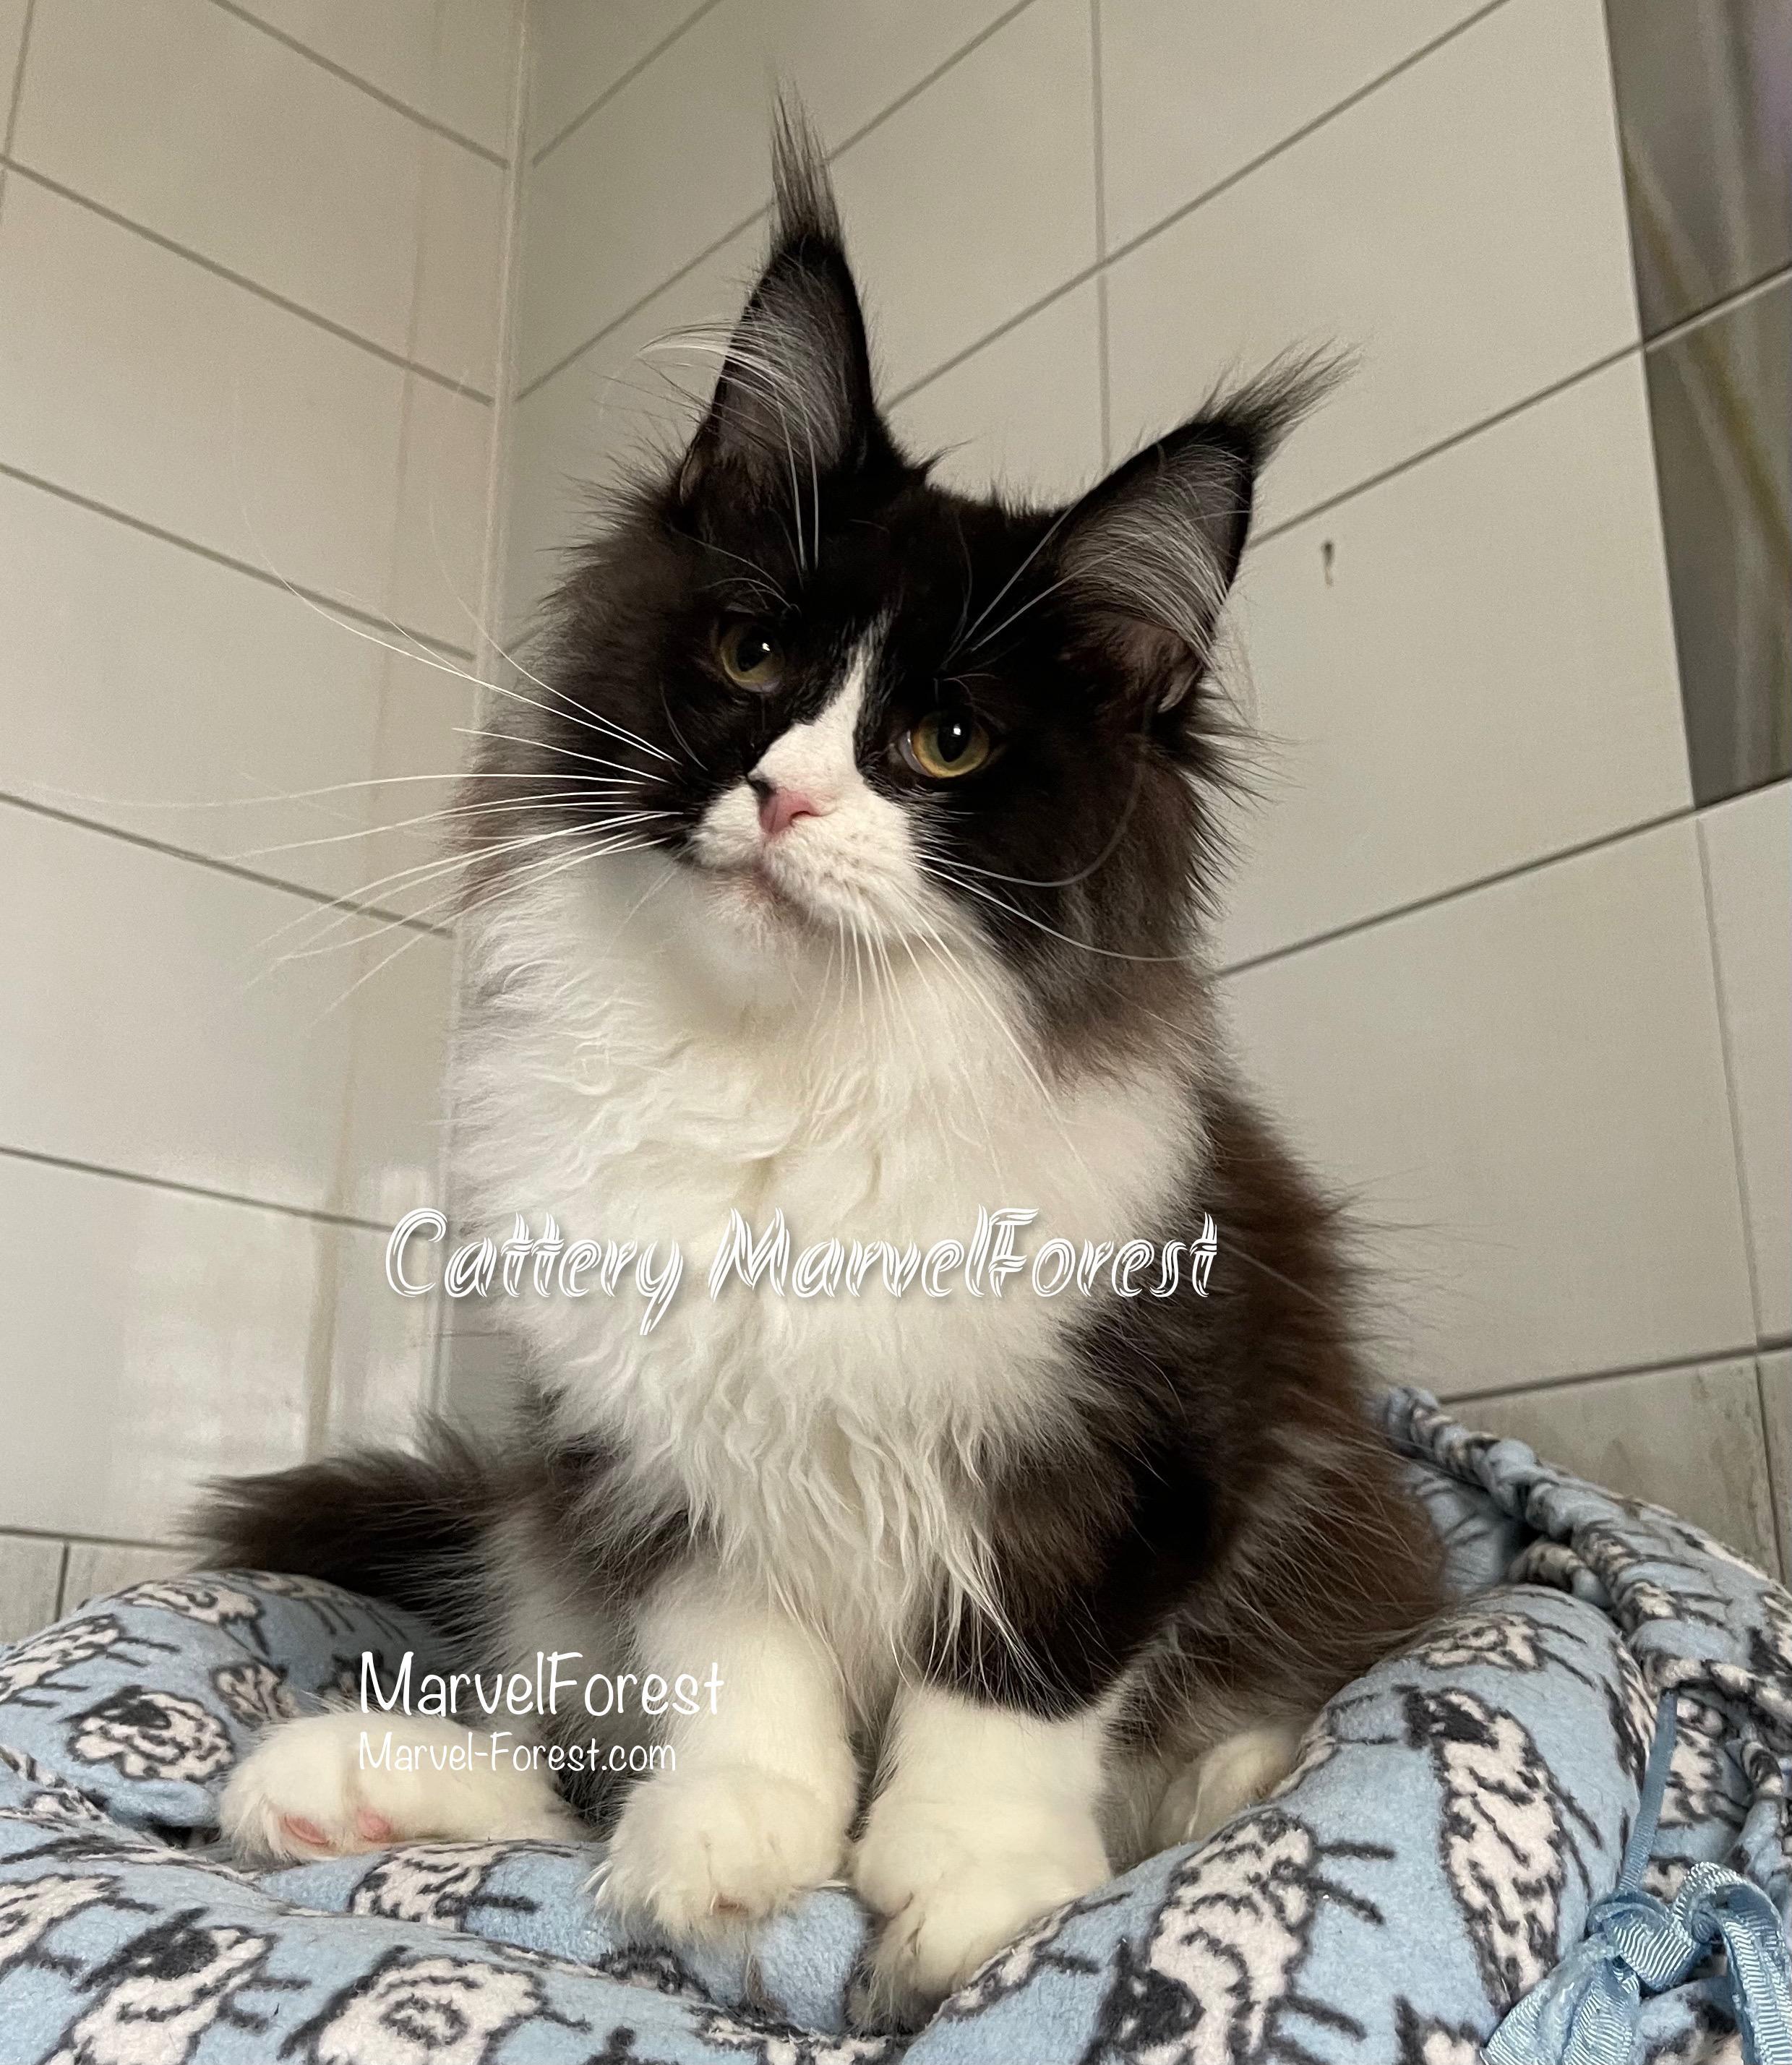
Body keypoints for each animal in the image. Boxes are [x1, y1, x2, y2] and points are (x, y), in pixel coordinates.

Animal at [192, 125, 1444, 2024]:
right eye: (754, 659)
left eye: (946, 742)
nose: (784, 797)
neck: (785, 1079)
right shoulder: (661, 1455)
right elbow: (728, 1673)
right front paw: (734, 1847)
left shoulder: (1132, 1434)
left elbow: (1015, 1676)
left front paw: (973, 1890)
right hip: (550, 1528)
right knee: (567, 1751)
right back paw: (351, 1785)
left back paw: (1233, 1779)